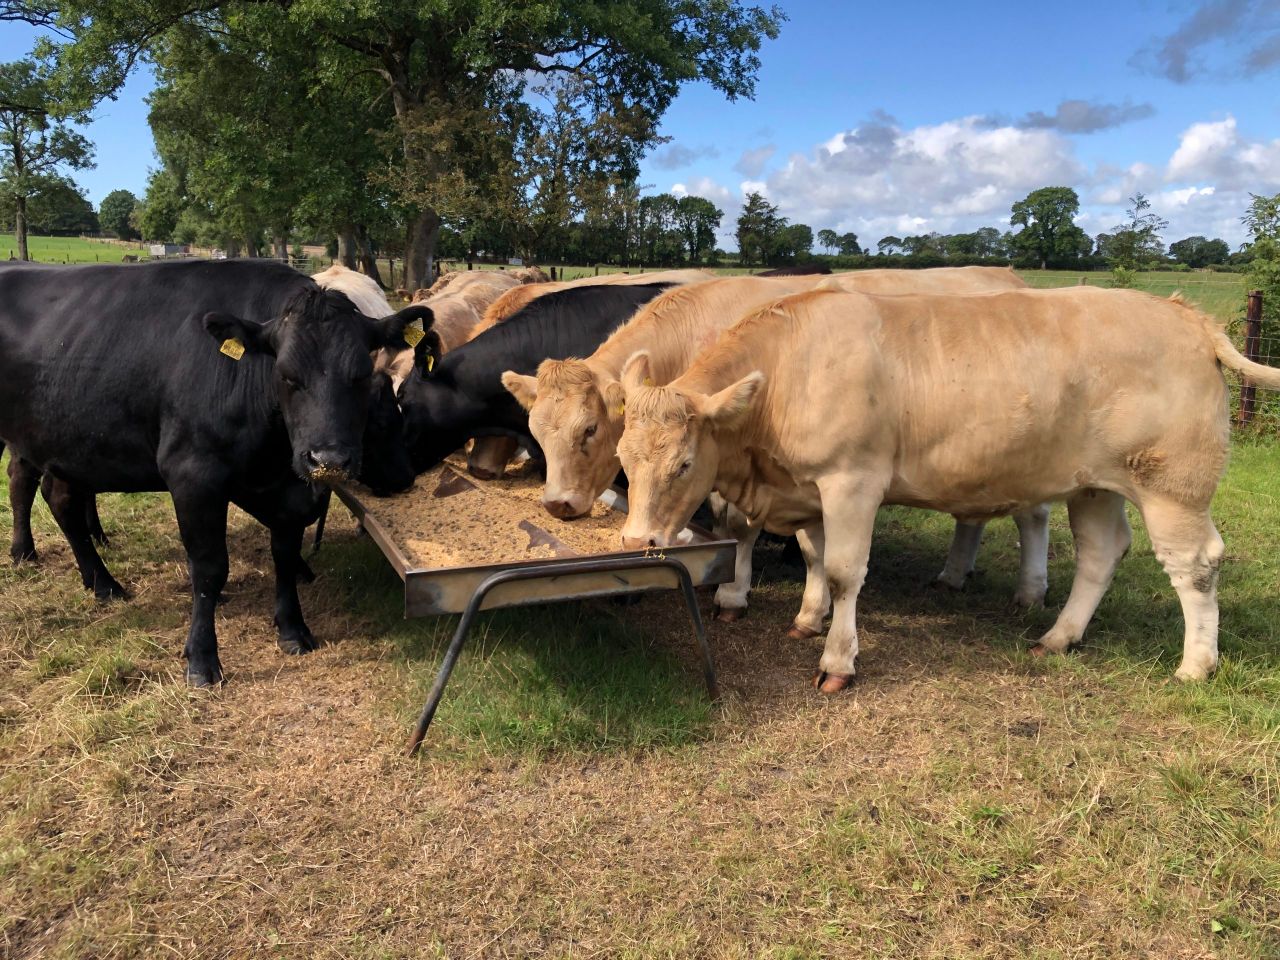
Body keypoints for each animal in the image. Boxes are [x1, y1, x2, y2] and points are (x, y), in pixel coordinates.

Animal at [0, 259, 423, 685]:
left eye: (359, 375)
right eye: (286, 375)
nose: (329, 460)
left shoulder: (287, 486)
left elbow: (285, 553)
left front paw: (293, 629)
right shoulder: (193, 475)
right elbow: (209, 568)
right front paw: (203, 659)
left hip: (69, 445)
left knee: (61, 500)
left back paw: (101, 582)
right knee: (28, 485)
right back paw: (28, 553)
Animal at [503, 271, 1049, 624]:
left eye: (591, 430)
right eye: (536, 430)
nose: (557, 505)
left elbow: (734, 527)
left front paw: (732, 591)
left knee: (1035, 516)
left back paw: (1030, 592)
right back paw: (955, 574)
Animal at [614, 287, 1274, 690]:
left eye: (683, 464)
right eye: (623, 455)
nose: (636, 541)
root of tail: (1185, 316)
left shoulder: (852, 481)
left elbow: (845, 572)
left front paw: (837, 659)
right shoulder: (810, 486)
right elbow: (814, 555)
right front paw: (807, 617)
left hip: (1173, 484)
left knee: (1196, 564)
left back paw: (1196, 664)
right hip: (1094, 485)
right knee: (1100, 554)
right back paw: (1059, 637)